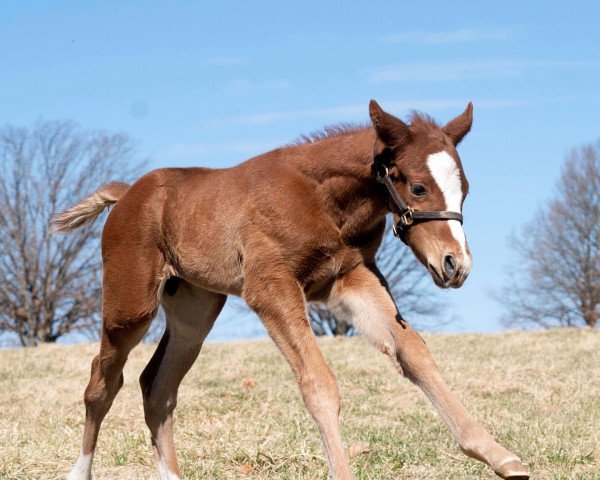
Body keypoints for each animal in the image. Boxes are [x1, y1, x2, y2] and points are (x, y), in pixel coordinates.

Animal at [52, 101, 528, 480]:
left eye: (465, 190)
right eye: (418, 186)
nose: (456, 265)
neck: (322, 199)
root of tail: (127, 193)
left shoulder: (351, 279)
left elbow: (413, 353)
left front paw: (498, 455)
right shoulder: (271, 286)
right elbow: (318, 382)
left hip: (194, 310)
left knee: (158, 386)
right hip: (130, 306)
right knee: (102, 382)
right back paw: (79, 472)